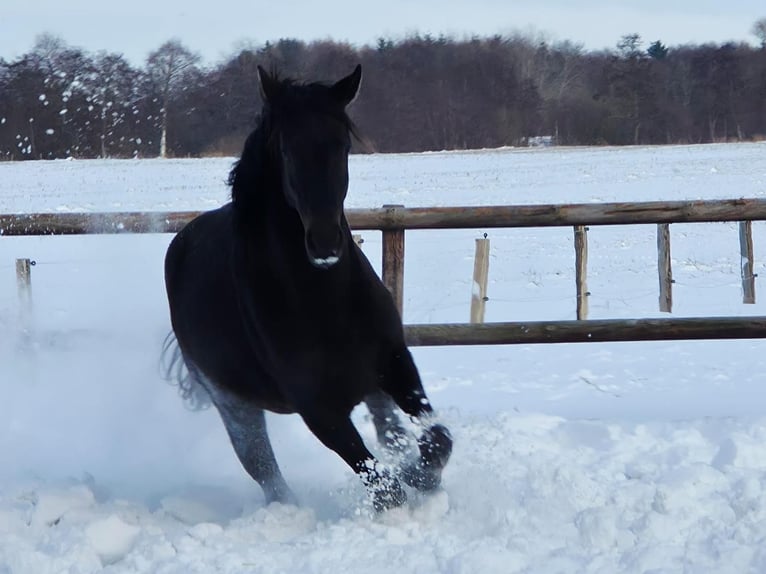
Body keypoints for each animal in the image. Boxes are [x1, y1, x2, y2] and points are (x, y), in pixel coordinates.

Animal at [163, 65, 452, 511]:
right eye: (285, 150)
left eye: (342, 145)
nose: (324, 243)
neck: (325, 302)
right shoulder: (318, 410)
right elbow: (381, 484)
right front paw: (408, 484)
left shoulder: (394, 363)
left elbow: (436, 440)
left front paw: (421, 476)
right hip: (234, 407)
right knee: (267, 473)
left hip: (372, 388)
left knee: (392, 433)